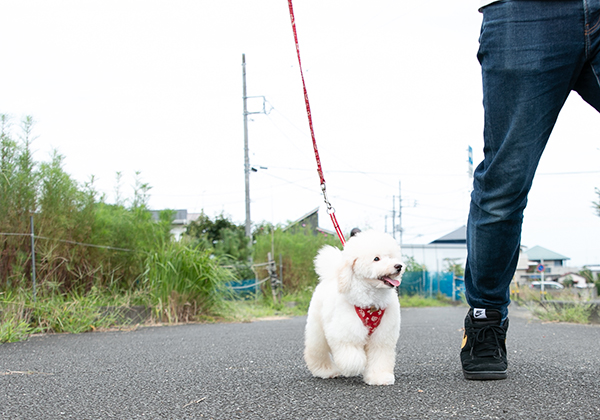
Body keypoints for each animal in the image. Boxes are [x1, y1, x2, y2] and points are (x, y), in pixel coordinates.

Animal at [304, 231, 404, 386]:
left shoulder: (382, 337)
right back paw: (326, 370)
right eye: (376, 258)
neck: (371, 304)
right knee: (316, 350)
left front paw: (379, 377)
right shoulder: (345, 334)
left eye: (391, 256)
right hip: (317, 330)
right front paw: (355, 367)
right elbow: (352, 358)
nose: (398, 266)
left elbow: (379, 357)